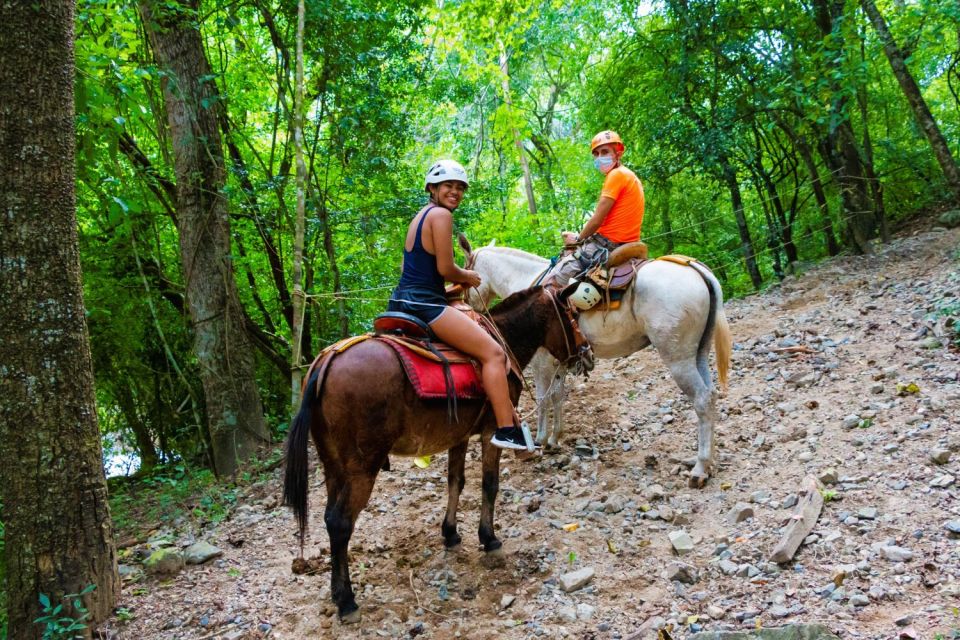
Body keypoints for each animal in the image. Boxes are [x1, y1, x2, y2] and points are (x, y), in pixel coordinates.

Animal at [282, 284, 588, 620]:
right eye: (573, 314)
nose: (586, 353)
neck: (504, 340)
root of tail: (326, 362)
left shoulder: (459, 436)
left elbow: (456, 482)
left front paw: (450, 533)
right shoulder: (490, 432)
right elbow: (489, 484)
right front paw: (489, 538)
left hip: (333, 465)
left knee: (328, 518)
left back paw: (338, 592)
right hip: (362, 467)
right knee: (340, 523)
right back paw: (347, 600)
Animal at [462, 238, 732, 488]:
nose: (466, 309)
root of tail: (694, 268)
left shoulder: (542, 361)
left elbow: (543, 398)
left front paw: (539, 440)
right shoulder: (561, 360)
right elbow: (558, 396)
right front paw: (554, 440)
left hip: (678, 359)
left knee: (701, 399)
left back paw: (700, 468)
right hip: (698, 353)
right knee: (711, 394)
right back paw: (707, 461)